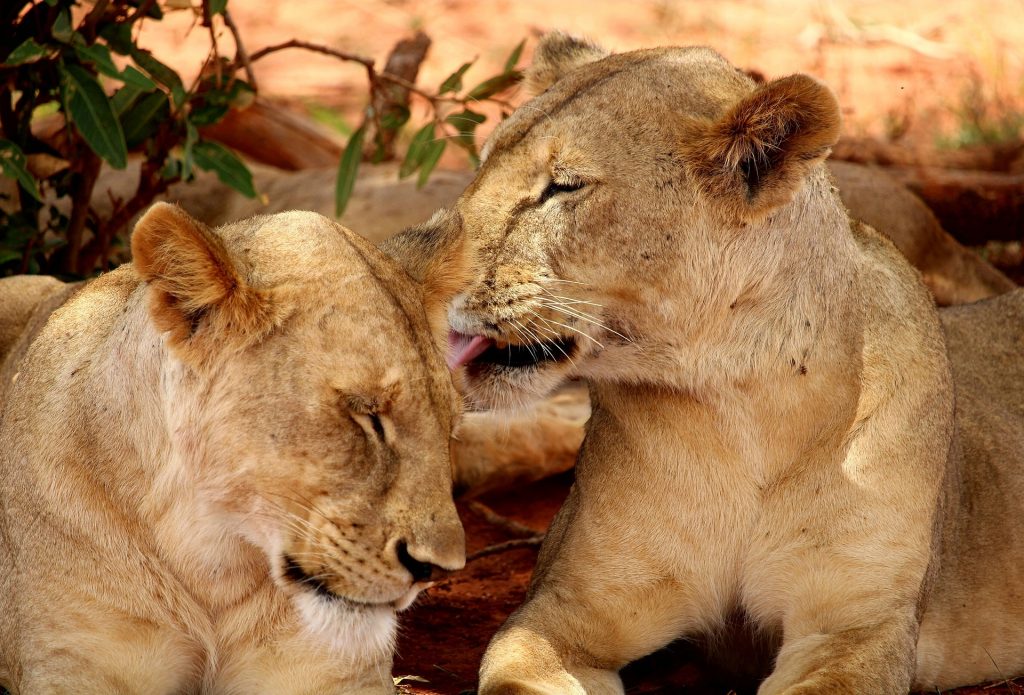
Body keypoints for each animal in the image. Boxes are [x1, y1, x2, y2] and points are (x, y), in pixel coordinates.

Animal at [384, 33, 1024, 693]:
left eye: (564, 186)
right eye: (482, 163)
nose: (406, 264)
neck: (738, 407)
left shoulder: (854, 628)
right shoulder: (565, 610)